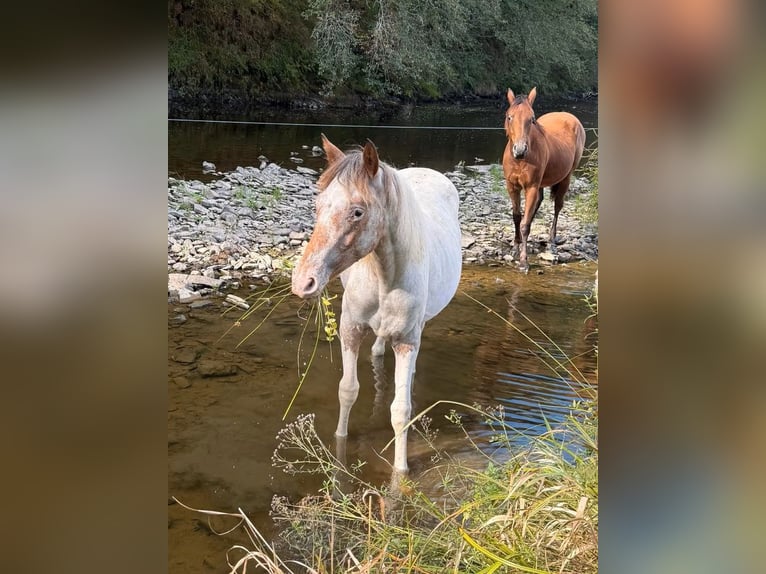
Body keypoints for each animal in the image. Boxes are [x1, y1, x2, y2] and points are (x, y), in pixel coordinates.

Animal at [291, 134, 462, 474]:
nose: (303, 283)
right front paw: (340, 443)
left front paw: (401, 471)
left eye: (357, 212)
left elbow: (400, 410)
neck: (384, 276)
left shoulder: (407, 340)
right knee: (378, 348)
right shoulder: (350, 328)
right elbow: (347, 390)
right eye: (318, 205)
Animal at [502, 87, 586, 272]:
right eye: (509, 117)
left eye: (531, 119)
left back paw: (551, 241)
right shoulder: (512, 186)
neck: (520, 161)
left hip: (565, 178)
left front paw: (524, 261)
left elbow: (525, 225)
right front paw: (515, 247)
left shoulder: (531, 187)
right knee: (537, 204)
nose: (520, 150)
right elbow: (517, 217)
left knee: (557, 207)